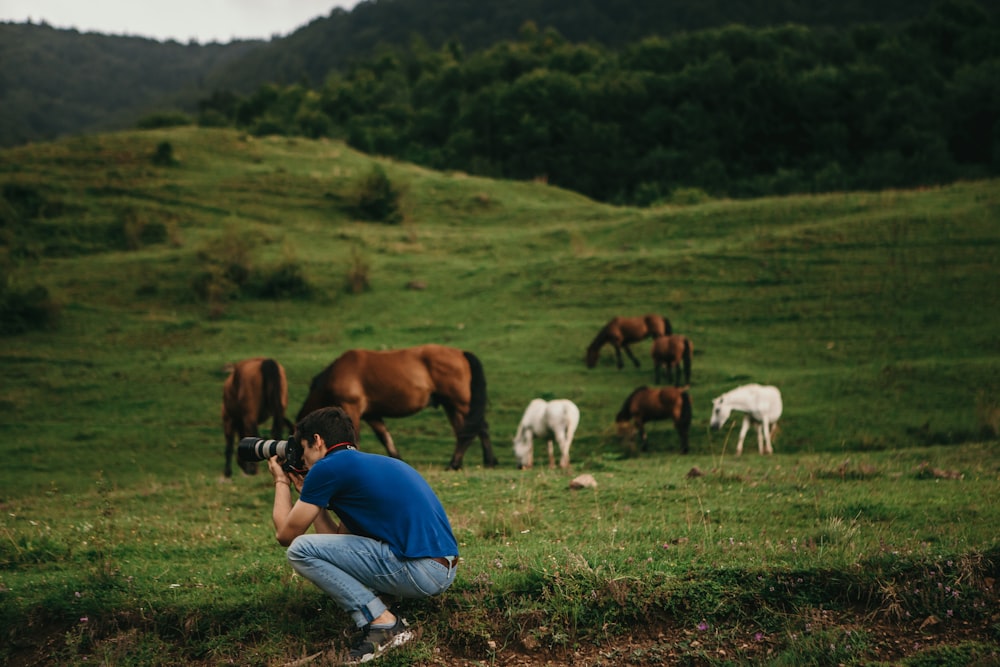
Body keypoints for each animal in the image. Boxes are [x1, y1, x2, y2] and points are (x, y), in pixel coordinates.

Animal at [296, 344, 500, 470]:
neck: (336, 374)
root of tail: (461, 353)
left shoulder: (352, 408)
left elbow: (356, 437)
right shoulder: (372, 415)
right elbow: (386, 438)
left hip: (461, 403)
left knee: (477, 429)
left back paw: (463, 463)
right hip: (451, 406)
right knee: (465, 432)